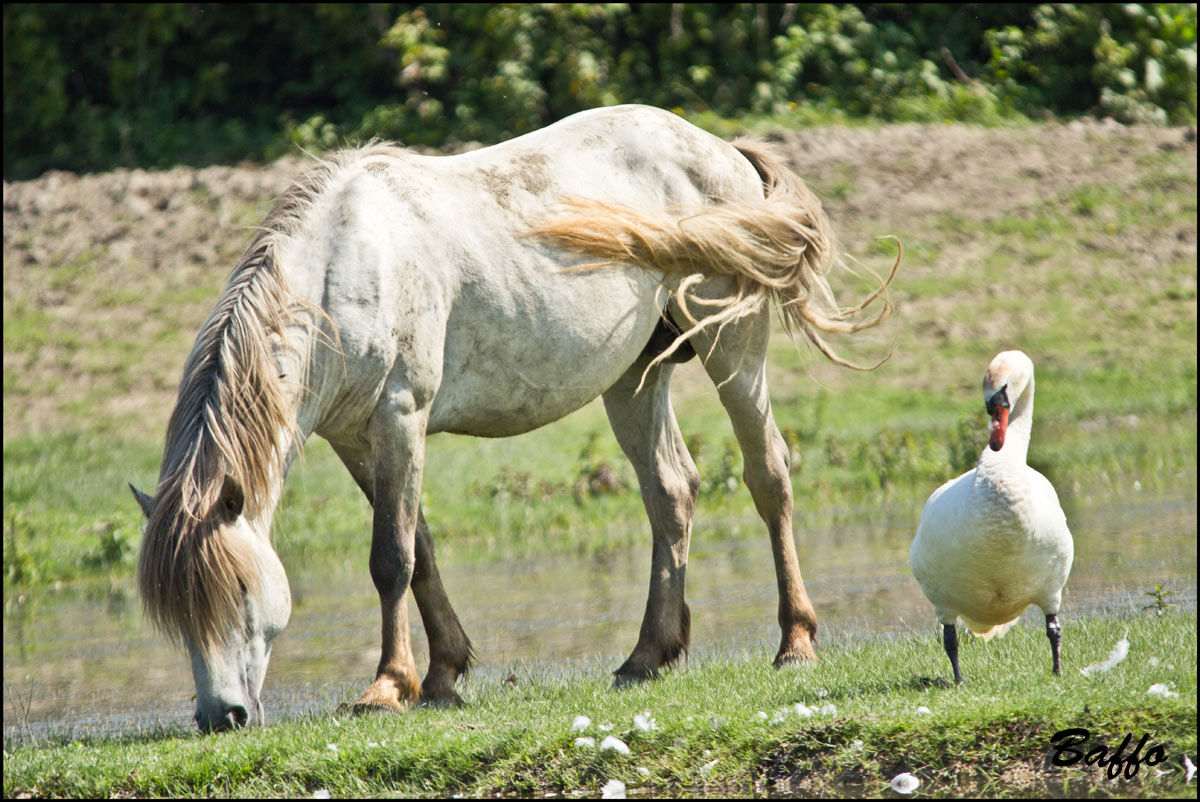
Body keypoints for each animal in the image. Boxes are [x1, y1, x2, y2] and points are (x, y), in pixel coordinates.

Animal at [131, 103, 902, 729]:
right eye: (175, 614)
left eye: (238, 590)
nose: (220, 717)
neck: (344, 267)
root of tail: (723, 151)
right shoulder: (355, 438)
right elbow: (421, 550)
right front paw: (444, 674)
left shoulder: (400, 416)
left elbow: (391, 558)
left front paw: (388, 687)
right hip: (633, 377)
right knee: (671, 491)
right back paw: (647, 656)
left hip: (733, 347)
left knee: (767, 474)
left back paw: (795, 642)